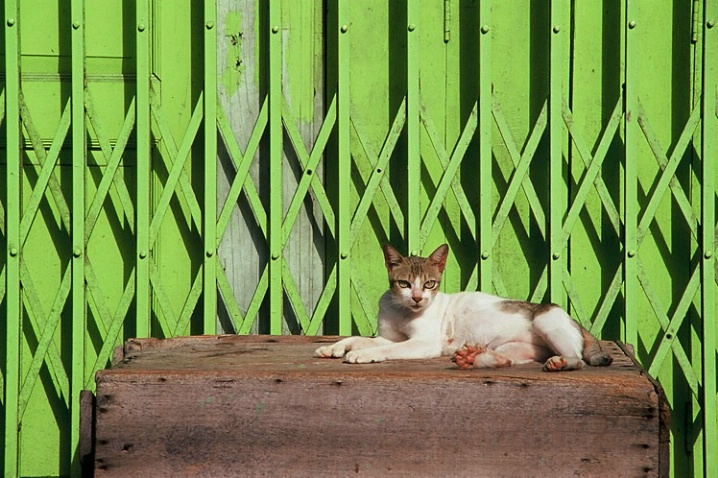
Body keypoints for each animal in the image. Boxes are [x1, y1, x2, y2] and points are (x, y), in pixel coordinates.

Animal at [316, 245, 612, 372]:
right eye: (404, 283)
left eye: (430, 284)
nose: (417, 298)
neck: (402, 311)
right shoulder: (387, 335)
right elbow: (359, 338)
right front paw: (334, 348)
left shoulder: (423, 343)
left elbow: (386, 349)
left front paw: (363, 355)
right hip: (516, 347)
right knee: (506, 360)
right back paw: (473, 358)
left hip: (546, 320)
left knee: (579, 359)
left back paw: (562, 363)